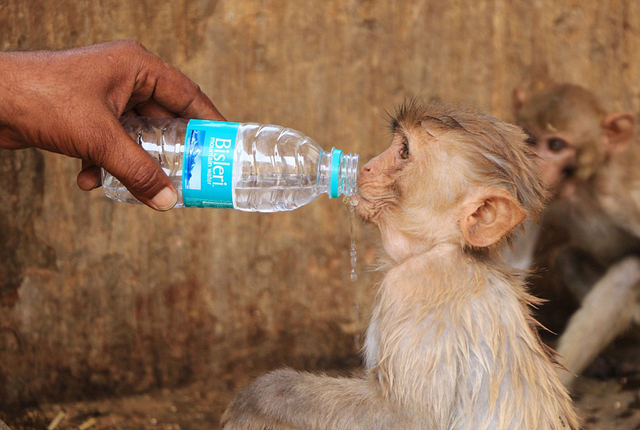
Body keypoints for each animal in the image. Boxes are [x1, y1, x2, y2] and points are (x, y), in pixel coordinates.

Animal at [221, 101, 580, 430]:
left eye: (404, 151)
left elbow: (409, 418)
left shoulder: (415, 286)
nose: (366, 167)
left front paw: (264, 395)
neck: (444, 248)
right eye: (396, 143)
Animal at [512, 83, 640, 386]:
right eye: (531, 139)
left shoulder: (628, 195)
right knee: (567, 258)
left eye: (556, 145)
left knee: (629, 272)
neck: (583, 187)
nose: (536, 166)